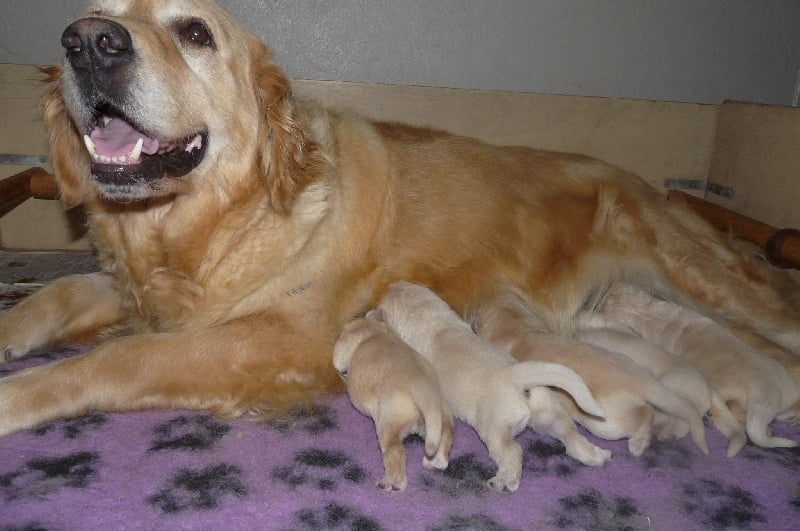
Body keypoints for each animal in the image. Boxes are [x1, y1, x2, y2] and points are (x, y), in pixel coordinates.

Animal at [332, 316, 456, 494]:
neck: (375, 332)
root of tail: (424, 386)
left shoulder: (343, 351)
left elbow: (337, 359)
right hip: (440, 416)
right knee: (446, 434)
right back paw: (436, 461)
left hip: (389, 422)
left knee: (395, 451)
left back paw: (392, 483)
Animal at [376, 282, 608, 494]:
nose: (391, 285)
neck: (434, 321)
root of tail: (516, 376)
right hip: (547, 414)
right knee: (570, 433)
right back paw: (597, 456)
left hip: (494, 428)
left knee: (512, 450)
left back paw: (504, 481)